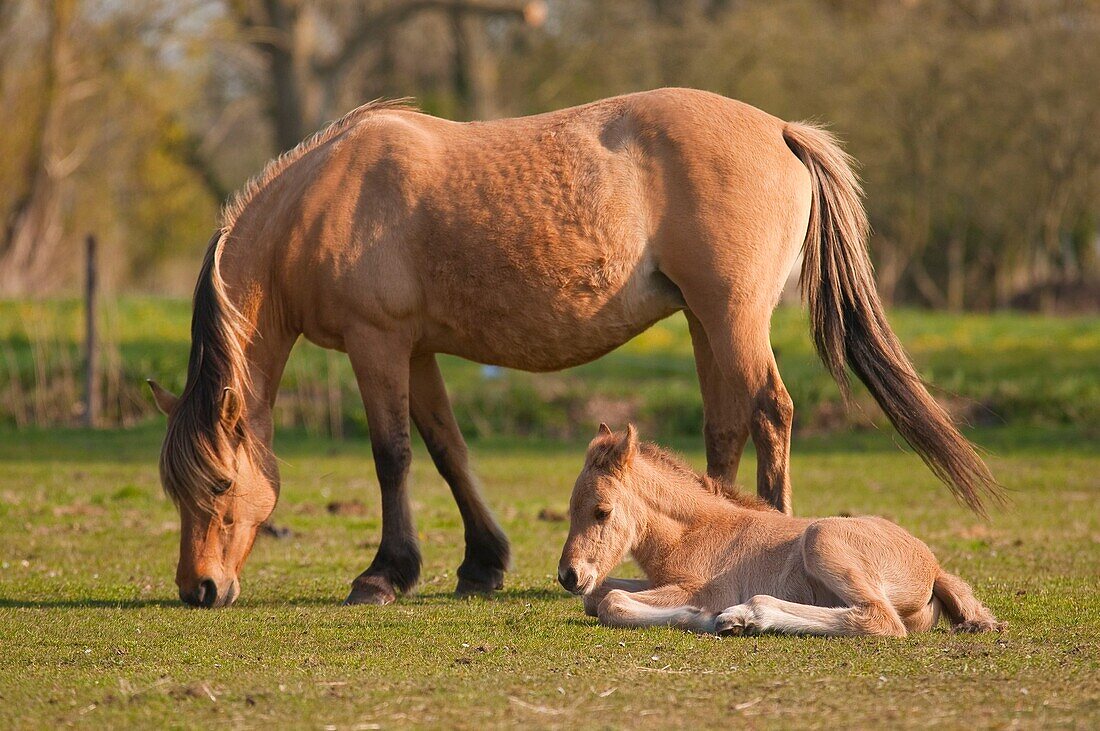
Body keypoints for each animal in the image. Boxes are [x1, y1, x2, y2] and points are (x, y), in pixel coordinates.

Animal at [144, 88, 998, 606]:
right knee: (725, 425)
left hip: (733, 317)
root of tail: (782, 132)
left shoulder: (376, 343)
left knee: (770, 412)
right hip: (705, 320)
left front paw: (386, 573)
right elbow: (447, 448)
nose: (198, 587)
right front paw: (480, 563)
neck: (323, 201)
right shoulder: (416, 350)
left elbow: (393, 454)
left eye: (218, 484)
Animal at [558, 424, 1007, 637]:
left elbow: (611, 601)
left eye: (601, 511)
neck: (694, 531)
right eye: (570, 508)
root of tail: (933, 568)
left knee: (879, 619)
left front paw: (701, 617)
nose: (568, 576)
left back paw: (744, 616)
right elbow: (597, 597)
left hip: (822, 539)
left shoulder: (702, 588)